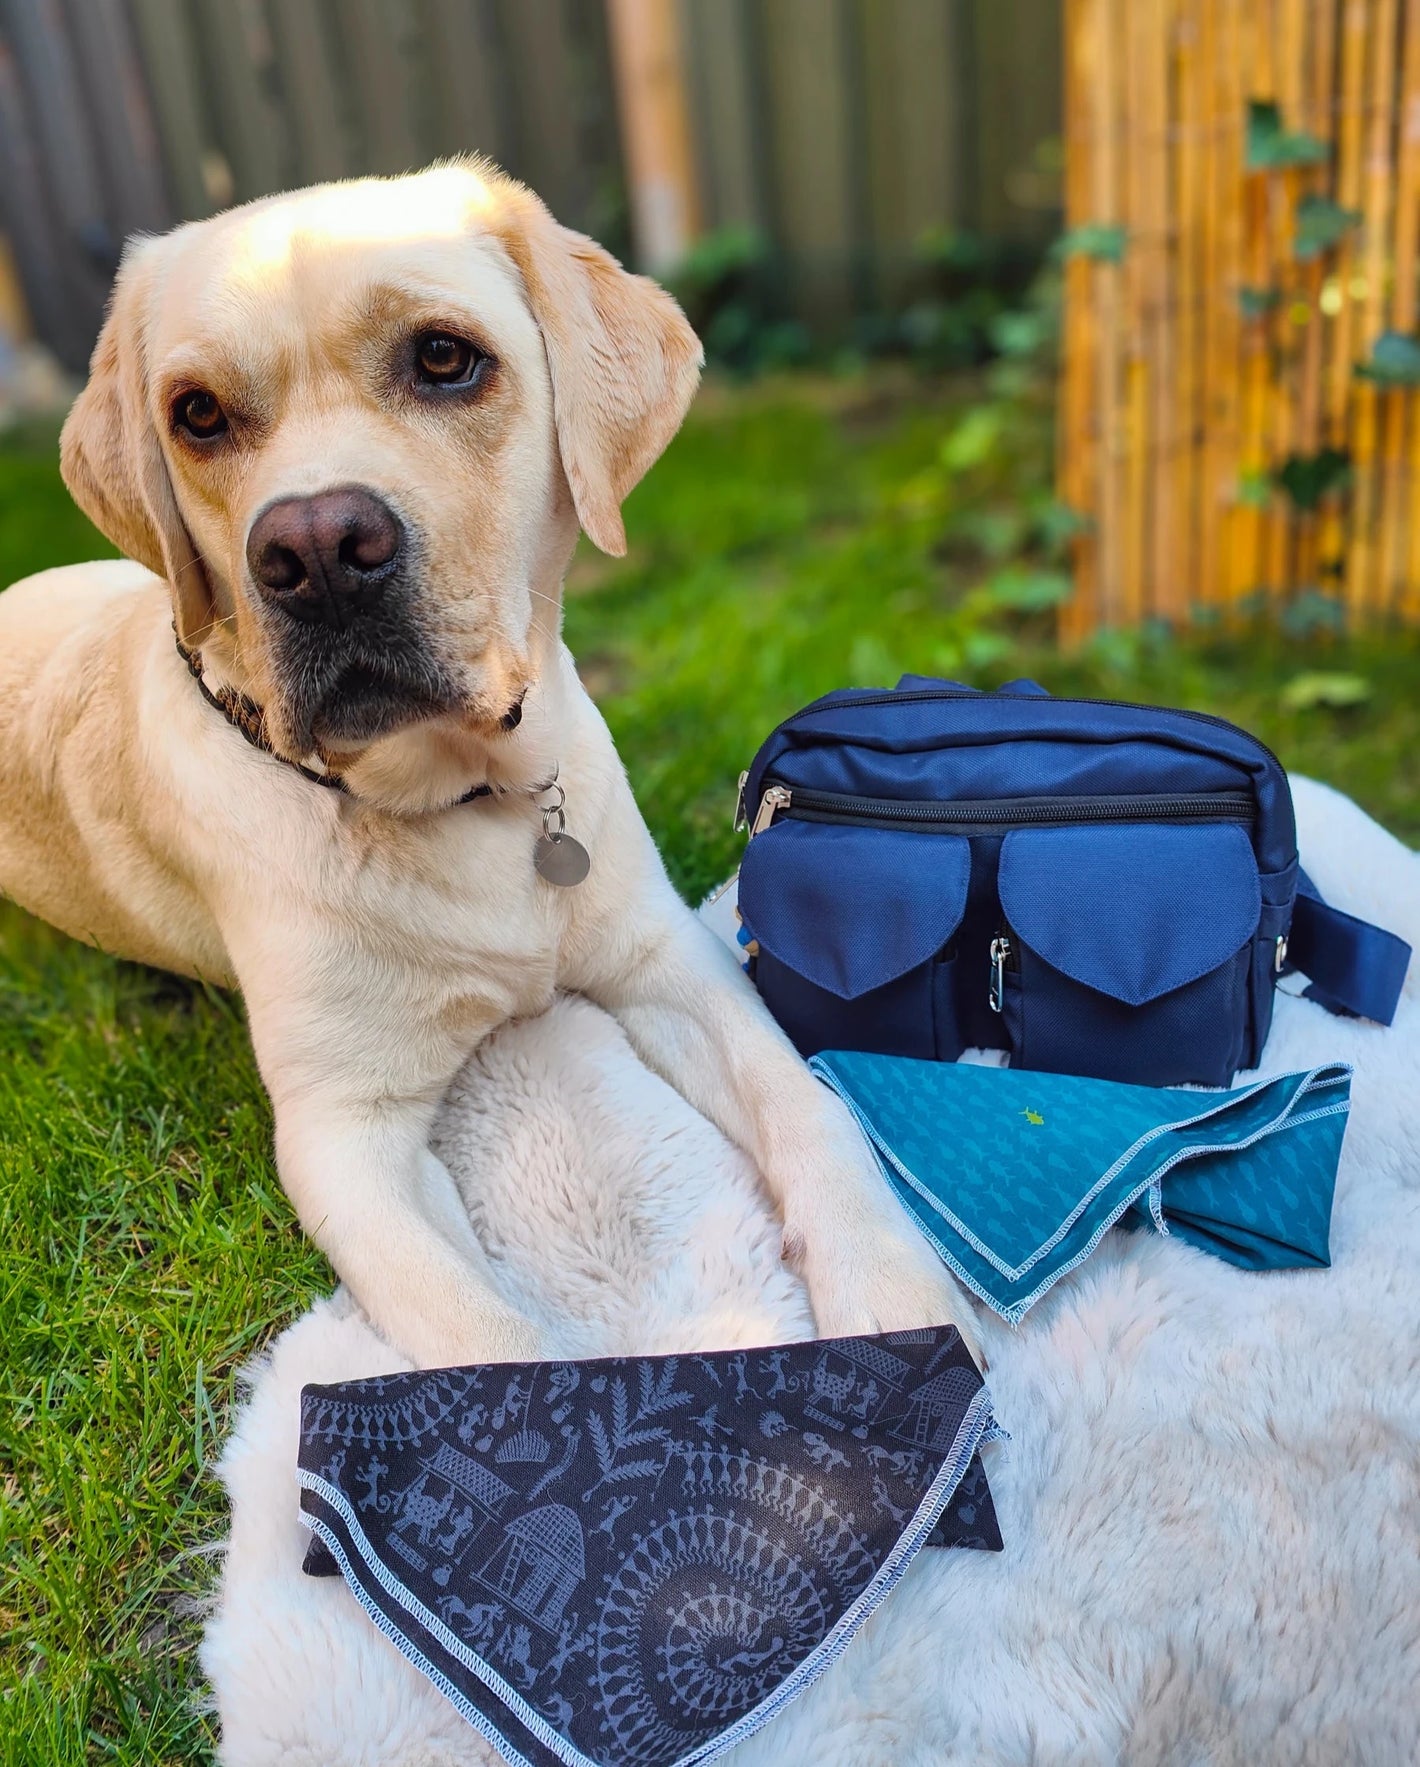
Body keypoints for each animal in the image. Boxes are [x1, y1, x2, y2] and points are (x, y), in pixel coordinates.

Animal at [0, 162, 974, 1364]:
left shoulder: (666, 957)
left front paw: (898, 1300)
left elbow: (811, 1105)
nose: (317, 552)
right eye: (198, 415)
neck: (468, 797)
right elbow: (487, 1341)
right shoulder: (345, 1136)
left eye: (443, 358)